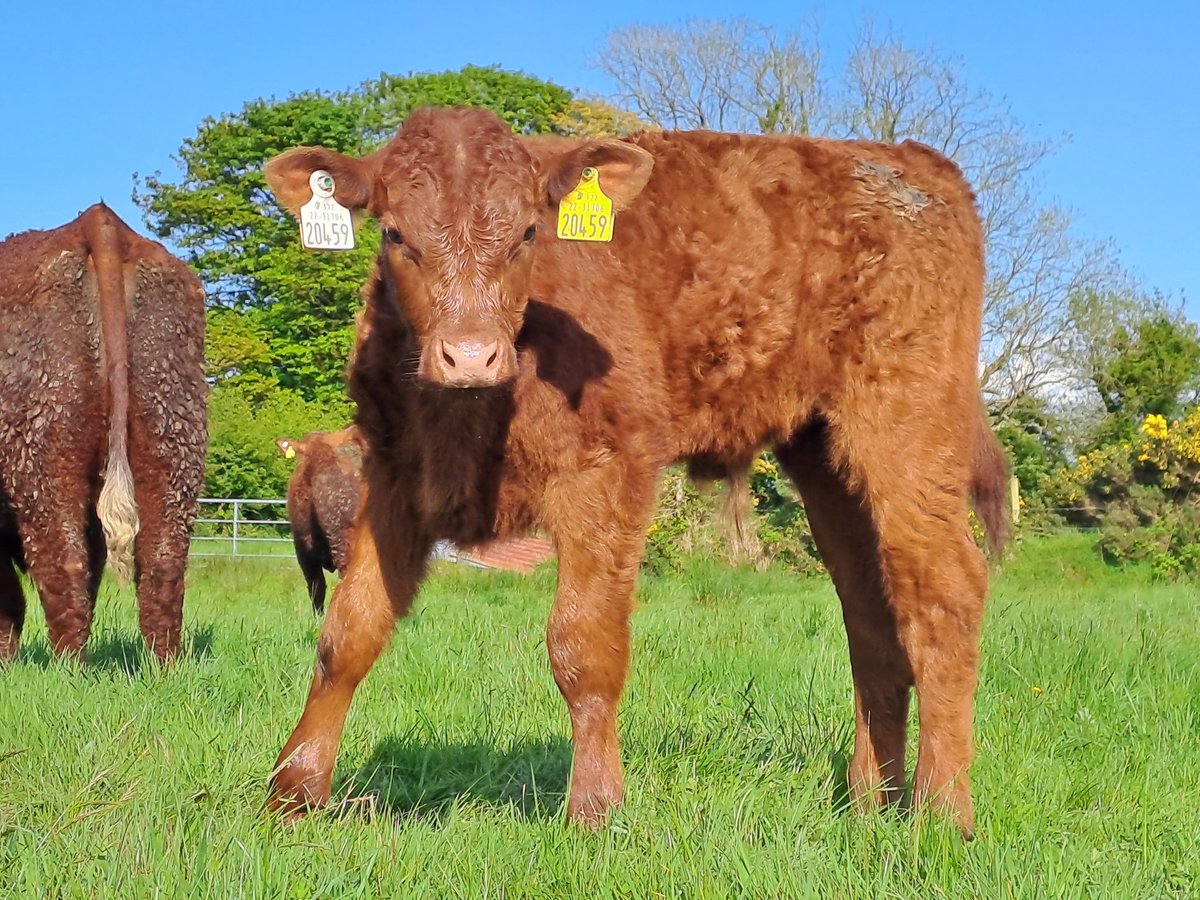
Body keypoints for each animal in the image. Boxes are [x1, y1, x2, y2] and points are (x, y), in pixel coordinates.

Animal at [0, 203, 207, 662]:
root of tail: (100, 223)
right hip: (173, 440)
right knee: (162, 565)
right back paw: (161, 667)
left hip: (42, 462)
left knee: (64, 563)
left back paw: (65, 669)